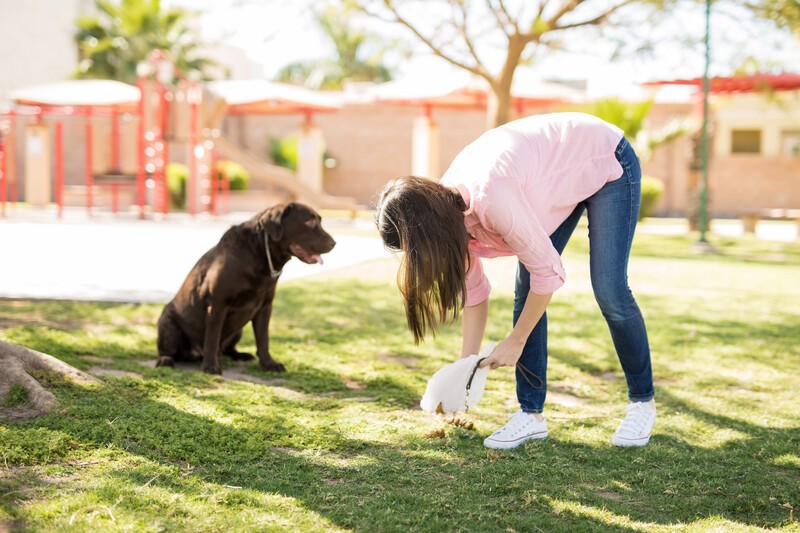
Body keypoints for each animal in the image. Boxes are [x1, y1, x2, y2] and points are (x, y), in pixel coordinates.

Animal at [156, 202, 334, 372]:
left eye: (320, 221)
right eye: (309, 223)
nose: (334, 243)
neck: (259, 255)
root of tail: (195, 353)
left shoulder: (265, 307)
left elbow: (263, 339)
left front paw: (268, 363)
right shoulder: (218, 305)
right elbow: (212, 338)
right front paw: (210, 366)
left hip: (238, 330)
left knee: (227, 349)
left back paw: (240, 355)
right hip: (167, 323)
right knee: (168, 350)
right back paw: (166, 360)